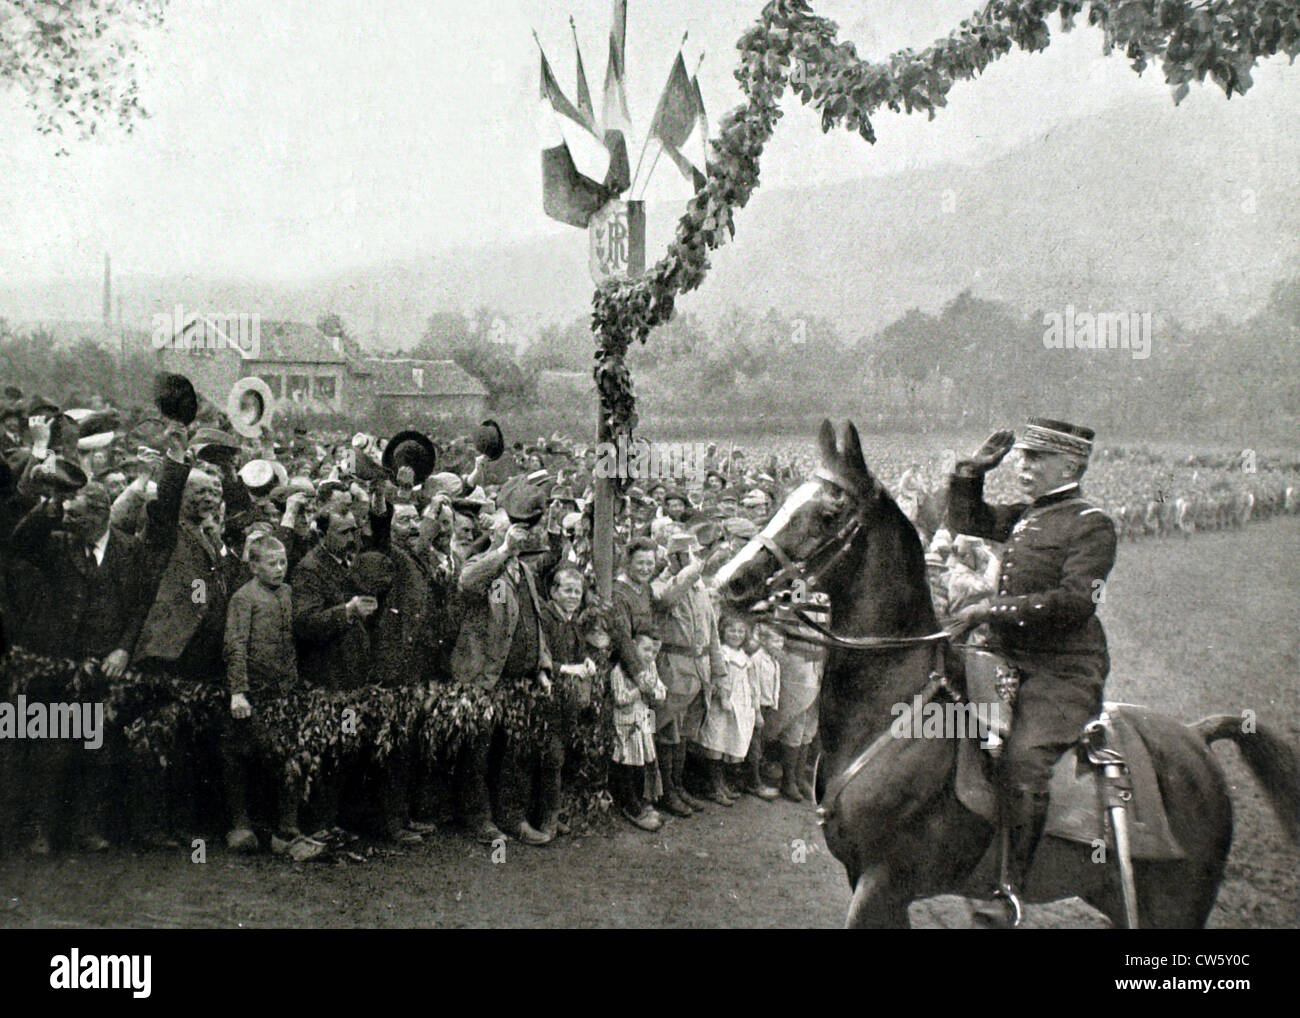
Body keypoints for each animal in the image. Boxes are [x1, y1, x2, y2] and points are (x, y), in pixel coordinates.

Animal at [717, 418, 1294, 925]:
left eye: (827, 514)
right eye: (787, 499)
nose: (729, 581)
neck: (893, 708)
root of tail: (1197, 737)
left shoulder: (885, 880)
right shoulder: (866, 877)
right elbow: (978, 515)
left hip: (1176, 905)